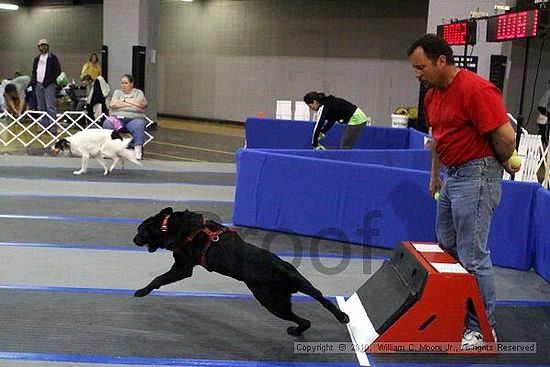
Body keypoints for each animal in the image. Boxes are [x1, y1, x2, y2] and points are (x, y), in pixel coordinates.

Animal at [134, 207, 350, 336]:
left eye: (140, 231)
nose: (134, 240)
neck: (168, 225)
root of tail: (280, 270)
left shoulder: (182, 267)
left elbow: (158, 279)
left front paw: (142, 291)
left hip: (271, 302)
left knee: (302, 317)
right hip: (299, 282)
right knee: (319, 301)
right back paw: (338, 317)